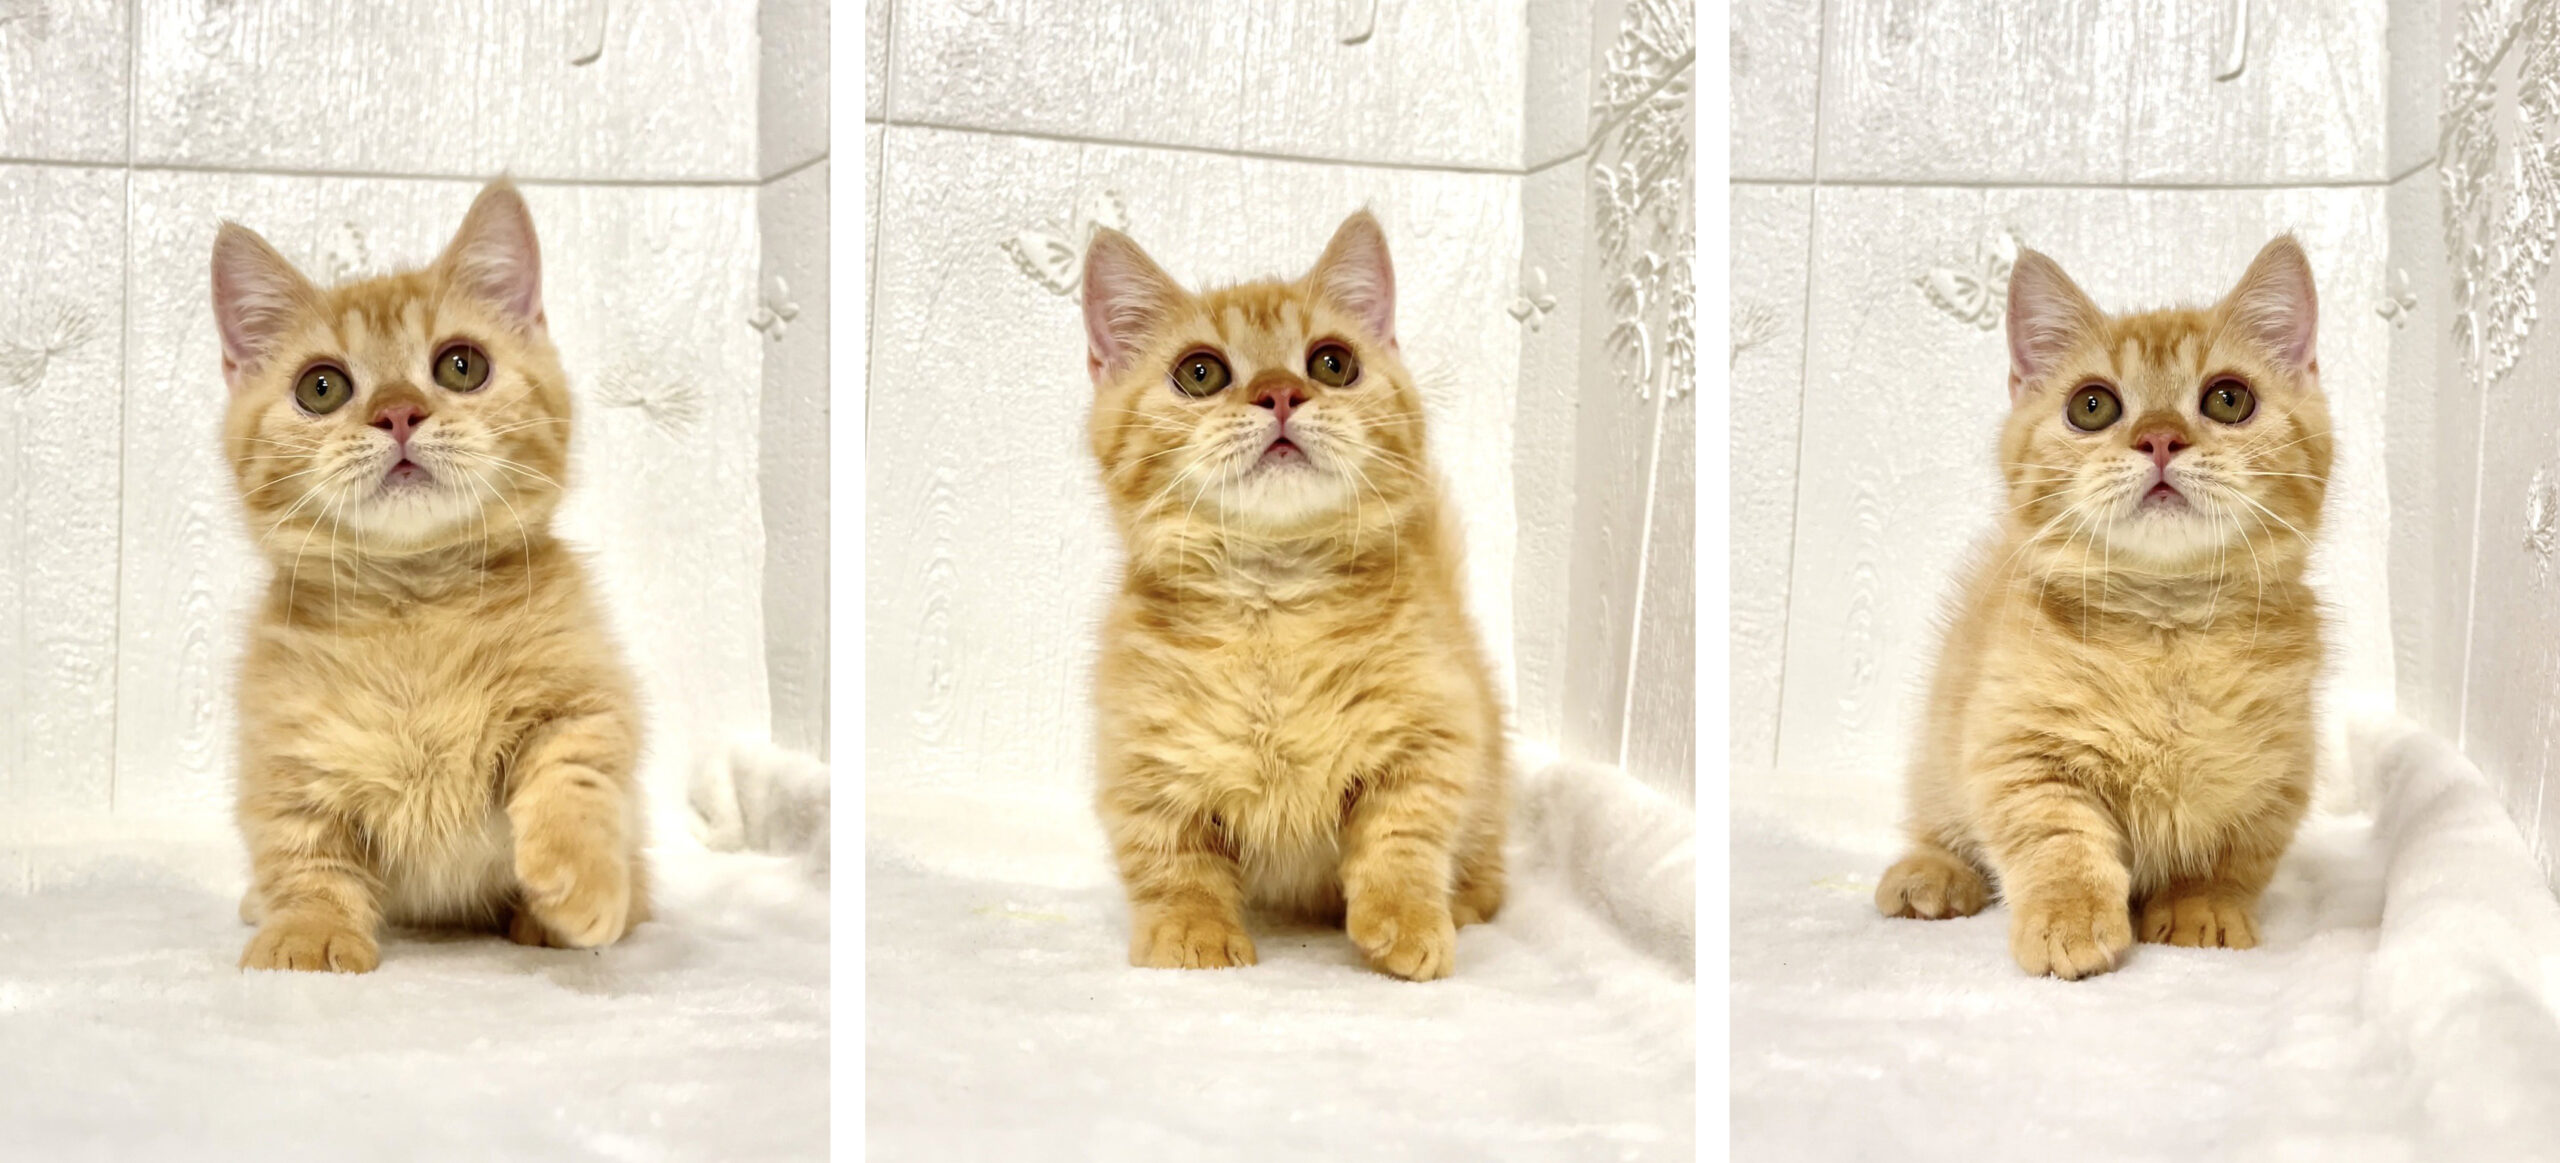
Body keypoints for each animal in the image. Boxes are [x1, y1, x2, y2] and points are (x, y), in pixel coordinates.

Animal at [213, 180, 649, 973]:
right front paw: (309, 928)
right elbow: (304, 847)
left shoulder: (583, 695)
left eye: (461, 366)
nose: (397, 411)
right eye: (321, 387)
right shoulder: (285, 750)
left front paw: (580, 878)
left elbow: (573, 774)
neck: (414, 603)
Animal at [1080, 210, 1507, 981]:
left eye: (1333, 363)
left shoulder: (1435, 730)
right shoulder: (1143, 759)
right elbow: (1170, 859)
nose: (1280, 392)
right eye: (1200, 373)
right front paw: (1192, 932)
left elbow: (1404, 833)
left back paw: (1459, 904)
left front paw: (1405, 918)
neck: (1274, 599)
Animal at [1874, 236, 2332, 981]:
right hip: (1942, 741)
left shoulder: (2278, 771)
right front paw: (2070, 917)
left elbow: (2227, 855)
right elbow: (2056, 837)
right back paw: (1930, 875)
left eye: (2228, 399)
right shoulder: (2017, 747)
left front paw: (2201, 908)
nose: (2160, 437)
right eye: (2092, 406)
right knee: (1939, 818)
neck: (2167, 626)